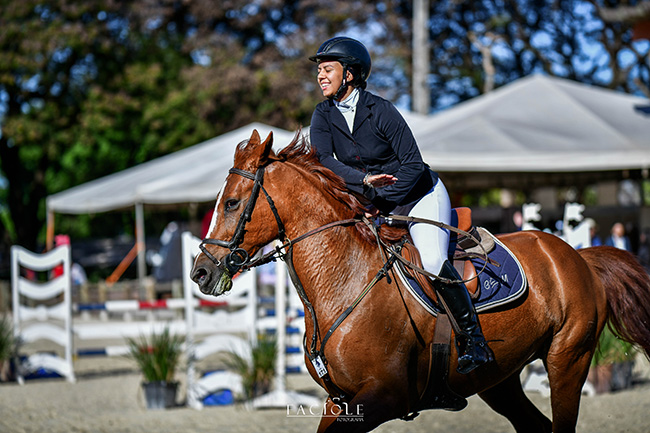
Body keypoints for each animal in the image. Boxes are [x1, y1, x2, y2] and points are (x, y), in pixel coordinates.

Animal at [189, 131, 648, 432]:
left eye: (232, 203)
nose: (201, 272)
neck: (344, 280)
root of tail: (577, 256)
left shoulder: (384, 397)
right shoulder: (340, 402)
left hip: (567, 360)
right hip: (501, 380)